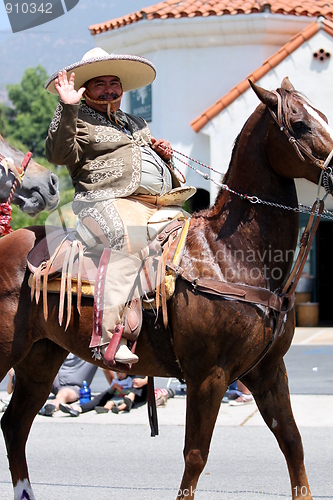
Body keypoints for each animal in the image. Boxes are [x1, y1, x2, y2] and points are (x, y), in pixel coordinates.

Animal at [0, 78, 332, 500]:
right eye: (300, 123)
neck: (229, 255)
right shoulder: (208, 376)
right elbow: (196, 456)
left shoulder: (268, 371)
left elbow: (292, 442)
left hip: (40, 359)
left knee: (15, 425)